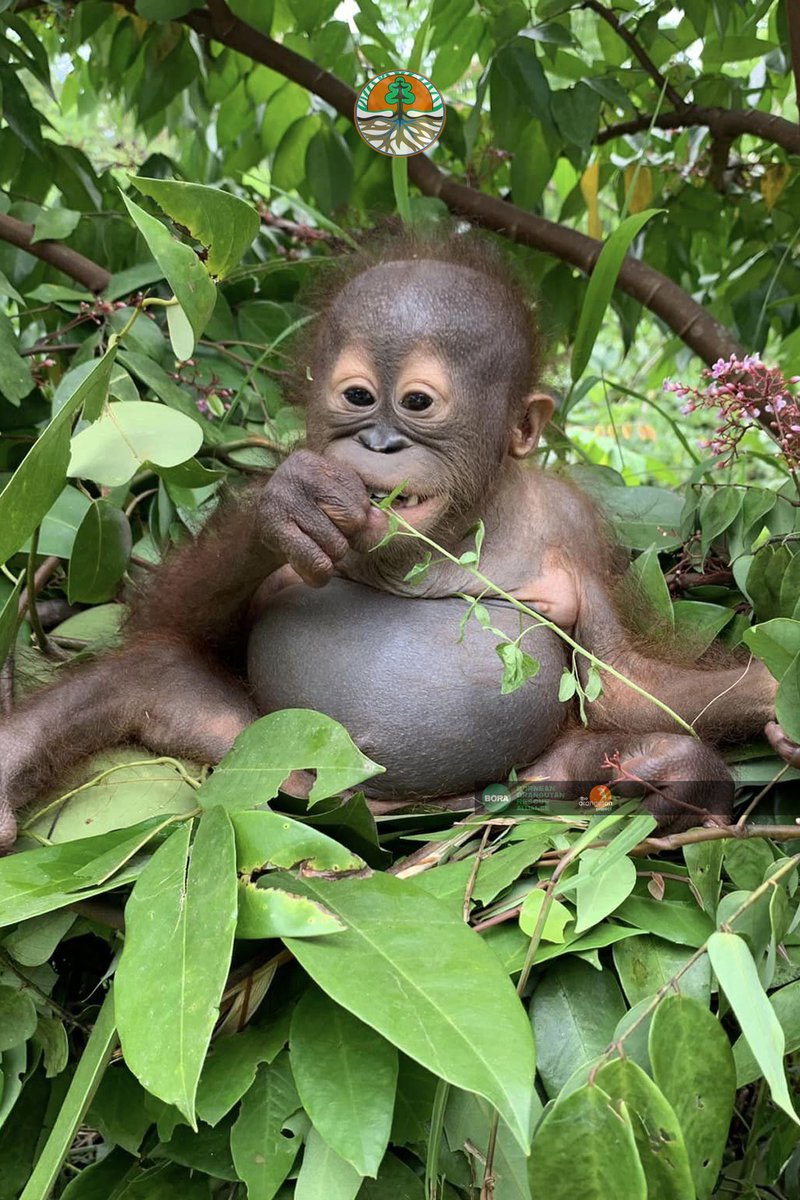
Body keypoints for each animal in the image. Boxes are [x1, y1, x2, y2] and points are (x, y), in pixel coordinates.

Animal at [0, 231, 796, 849]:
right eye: (357, 397)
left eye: (417, 403)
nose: (379, 444)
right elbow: (177, 622)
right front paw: (286, 508)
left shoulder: (573, 523)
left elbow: (624, 681)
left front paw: (774, 694)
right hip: (259, 752)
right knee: (141, 678)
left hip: (517, 784)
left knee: (641, 753)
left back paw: (664, 784)